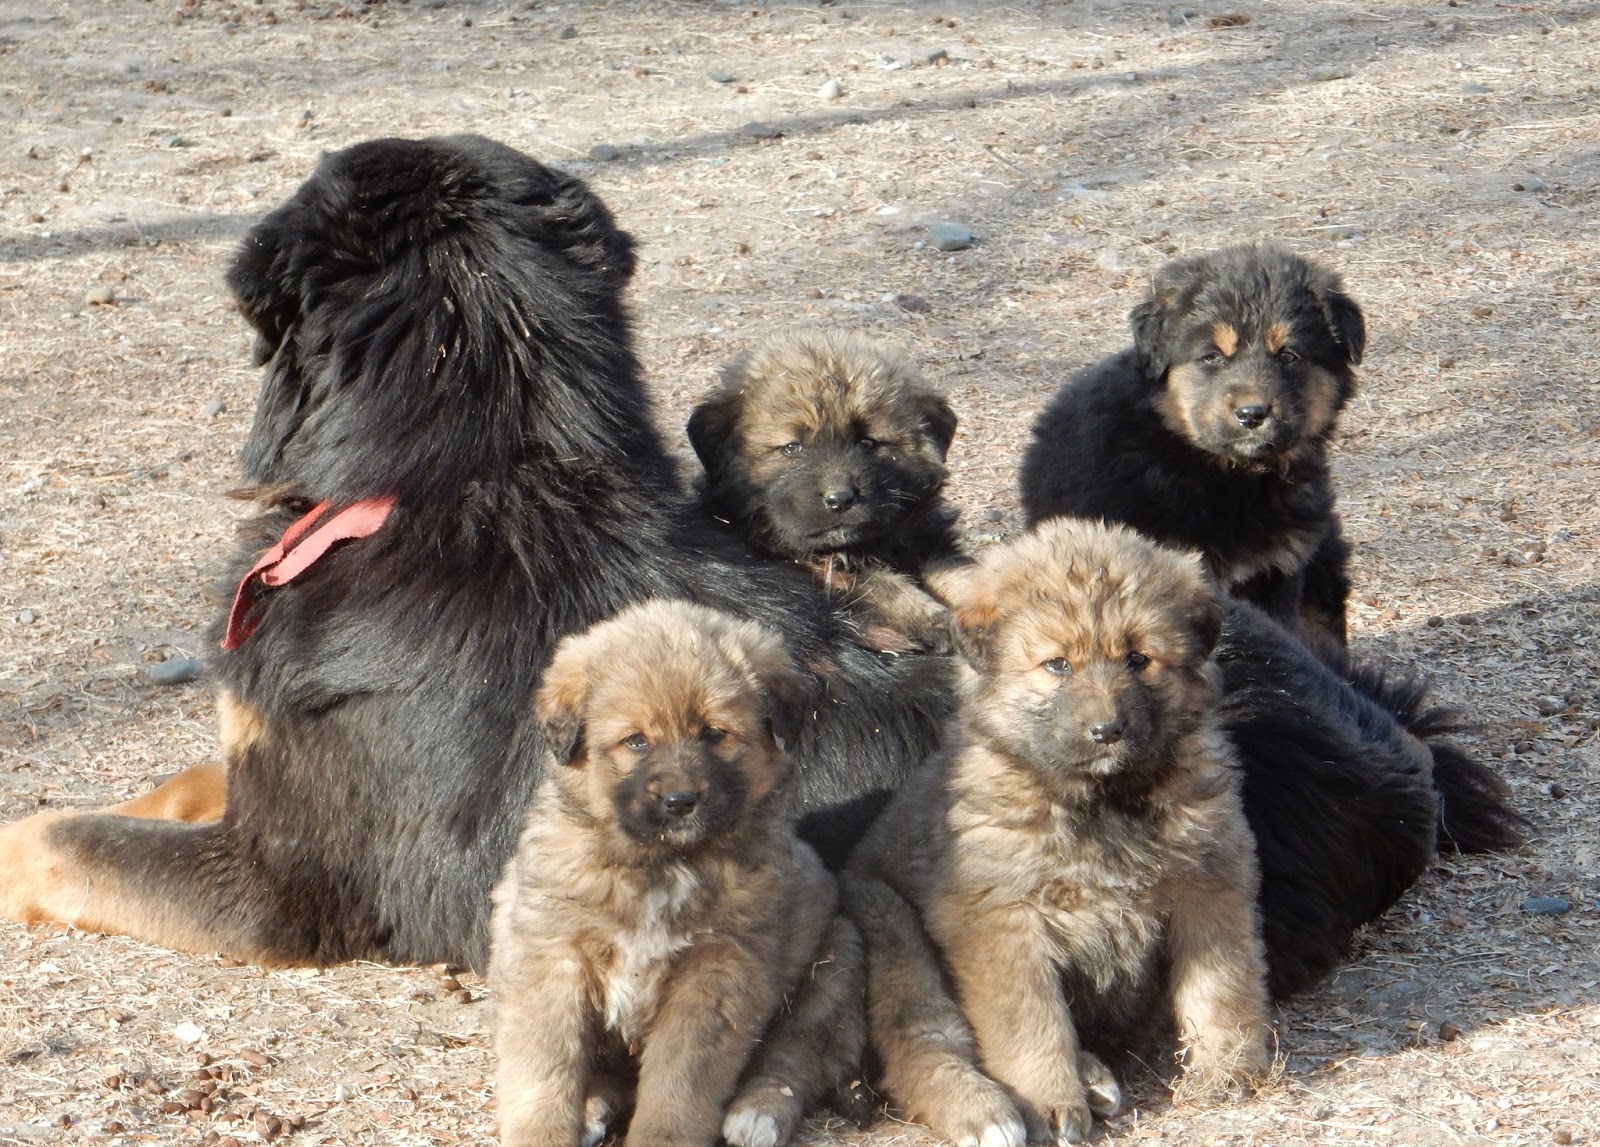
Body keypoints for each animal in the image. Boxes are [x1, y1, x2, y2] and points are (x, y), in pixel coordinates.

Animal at [486, 598, 864, 1145]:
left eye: (714, 734)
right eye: (636, 742)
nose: (681, 801)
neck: (661, 866)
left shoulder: (718, 973)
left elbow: (680, 1082)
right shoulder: (550, 956)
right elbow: (545, 1068)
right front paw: (544, 1131)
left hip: (834, 961)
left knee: (794, 1056)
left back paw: (759, 1113)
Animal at [688, 332, 960, 652]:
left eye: (867, 443)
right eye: (792, 448)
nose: (839, 499)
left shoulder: (927, 538)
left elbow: (956, 573)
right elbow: (882, 586)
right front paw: (936, 621)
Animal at [844, 518, 1267, 1145]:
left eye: (1138, 659)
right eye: (1058, 665)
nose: (1108, 731)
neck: (1101, 804)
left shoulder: (1211, 883)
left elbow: (1221, 986)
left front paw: (1229, 1066)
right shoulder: (1000, 920)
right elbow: (1030, 1023)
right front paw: (1047, 1100)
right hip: (887, 921)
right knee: (920, 1041)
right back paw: (987, 1110)